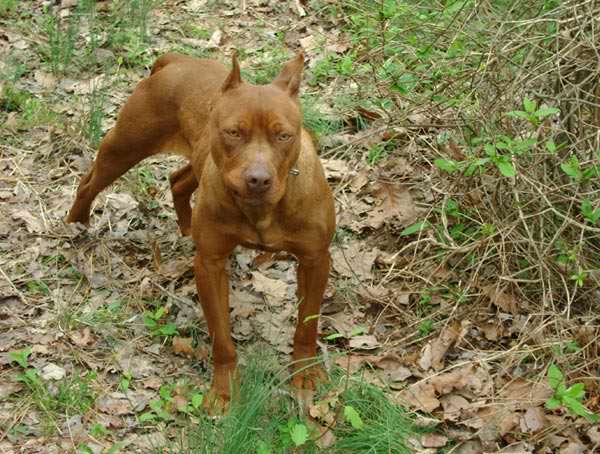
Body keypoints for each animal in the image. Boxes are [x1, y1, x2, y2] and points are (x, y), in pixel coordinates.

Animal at [68, 52, 338, 412]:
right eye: (233, 132)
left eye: (284, 136)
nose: (258, 179)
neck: (261, 209)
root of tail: (176, 60)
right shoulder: (210, 264)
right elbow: (221, 337)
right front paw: (224, 391)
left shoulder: (315, 260)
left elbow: (307, 324)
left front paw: (305, 372)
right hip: (124, 147)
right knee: (89, 183)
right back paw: (75, 224)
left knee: (178, 180)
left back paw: (184, 226)